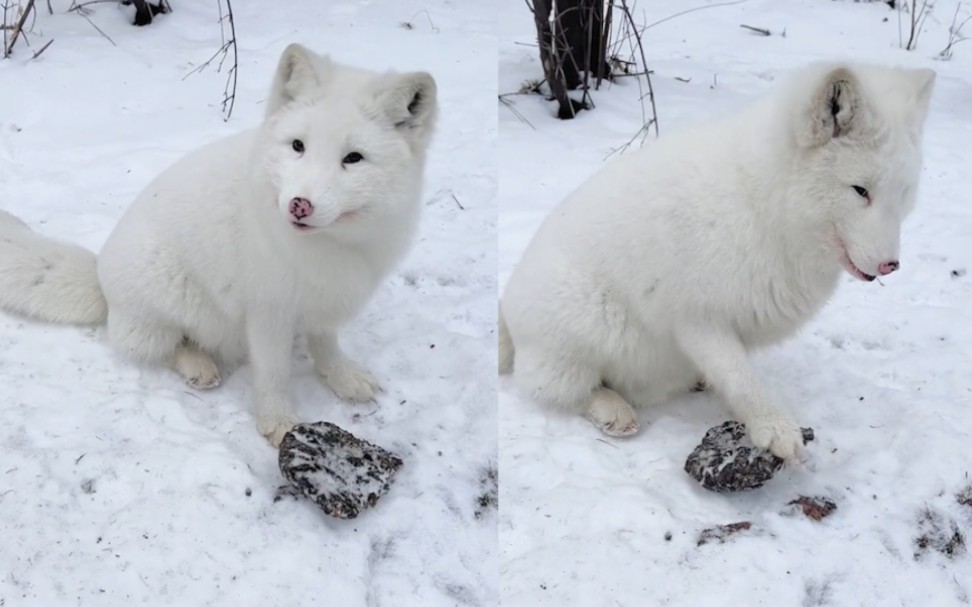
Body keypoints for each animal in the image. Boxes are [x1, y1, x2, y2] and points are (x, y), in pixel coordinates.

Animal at [0, 45, 436, 446]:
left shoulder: (324, 301)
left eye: (353, 158)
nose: (299, 204)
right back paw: (199, 365)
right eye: (298, 146)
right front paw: (279, 423)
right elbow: (273, 372)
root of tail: (101, 280)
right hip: (167, 299)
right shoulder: (267, 311)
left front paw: (342, 377)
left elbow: (326, 346)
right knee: (157, 345)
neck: (329, 245)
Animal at [502, 61, 936, 460]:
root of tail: (505, 308)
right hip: (589, 329)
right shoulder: (698, 319)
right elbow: (741, 379)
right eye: (860, 190)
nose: (890, 266)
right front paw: (774, 428)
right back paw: (614, 410)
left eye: (903, 192)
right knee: (555, 389)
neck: (762, 206)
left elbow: (732, 374)